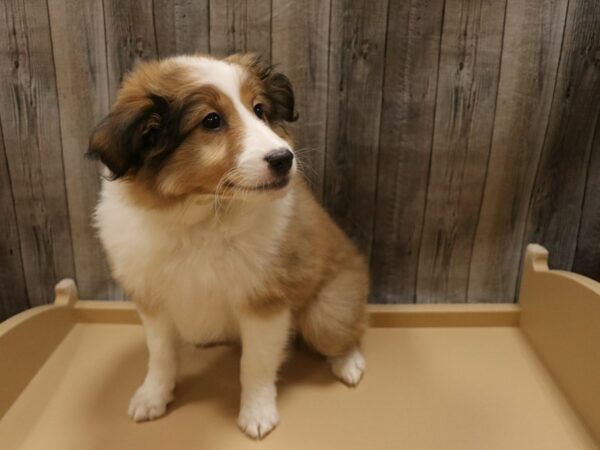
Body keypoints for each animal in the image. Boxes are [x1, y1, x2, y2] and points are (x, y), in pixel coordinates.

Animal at [91, 53, 368, 440]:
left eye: (259, 110)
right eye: (211, 121)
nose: (284, 158)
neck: (201, 218)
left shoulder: (264, 303)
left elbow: (255, 364)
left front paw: (257, 413)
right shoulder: (153, 301)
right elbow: (160, 356)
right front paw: (152, 397)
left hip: (327, 315)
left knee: (348, 330)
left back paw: (349, 363)